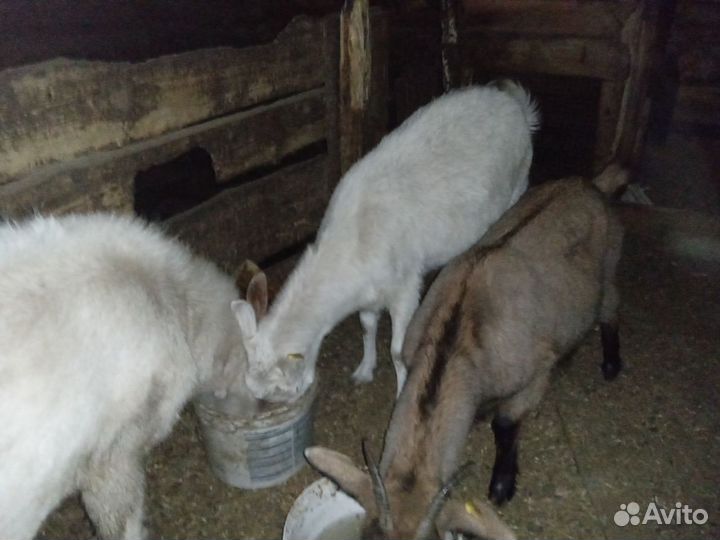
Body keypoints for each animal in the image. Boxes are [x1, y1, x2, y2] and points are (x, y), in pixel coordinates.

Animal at [232, 81, 539, 403]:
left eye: (276, 391)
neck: (353, 243)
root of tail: (517, 105)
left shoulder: (405, 288)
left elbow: (398, 350)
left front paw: (400, 391)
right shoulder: (368, 294)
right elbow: (367, 327)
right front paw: (364, 370)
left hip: (518, 185)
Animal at [305, 165, 628, 540]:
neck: (458, 337)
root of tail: (591, 185)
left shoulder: (533, 375)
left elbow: (506, 424)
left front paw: (501, 487)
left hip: (609, 268)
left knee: (610, 308)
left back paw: (611, 363)